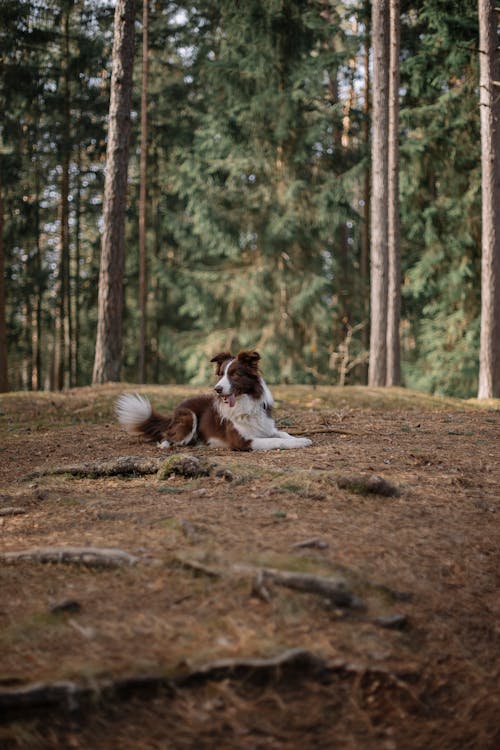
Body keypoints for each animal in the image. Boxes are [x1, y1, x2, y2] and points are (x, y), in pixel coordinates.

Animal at [116, 352, 312, 452]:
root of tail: (174, 413)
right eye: (221, 375)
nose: (217, 389)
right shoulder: (242, 441)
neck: (245, 402)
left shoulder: (266, 427)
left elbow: (282, 434)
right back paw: (168, 444)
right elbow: (275, 441)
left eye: (235, 374)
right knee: (166, 436)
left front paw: (301, 439)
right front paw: (297, 443)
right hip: (188, 418)